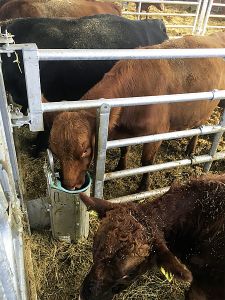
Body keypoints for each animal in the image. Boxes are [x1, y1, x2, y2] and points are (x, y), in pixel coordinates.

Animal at [48, 32, 225, 191]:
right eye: (55, 152)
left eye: (85, 150)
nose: (70, 186)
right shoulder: (124, 133)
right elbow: (124, 149)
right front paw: (120, 167)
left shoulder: (156, 134)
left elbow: (147, 163)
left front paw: (143, 187)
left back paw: (190, 149)